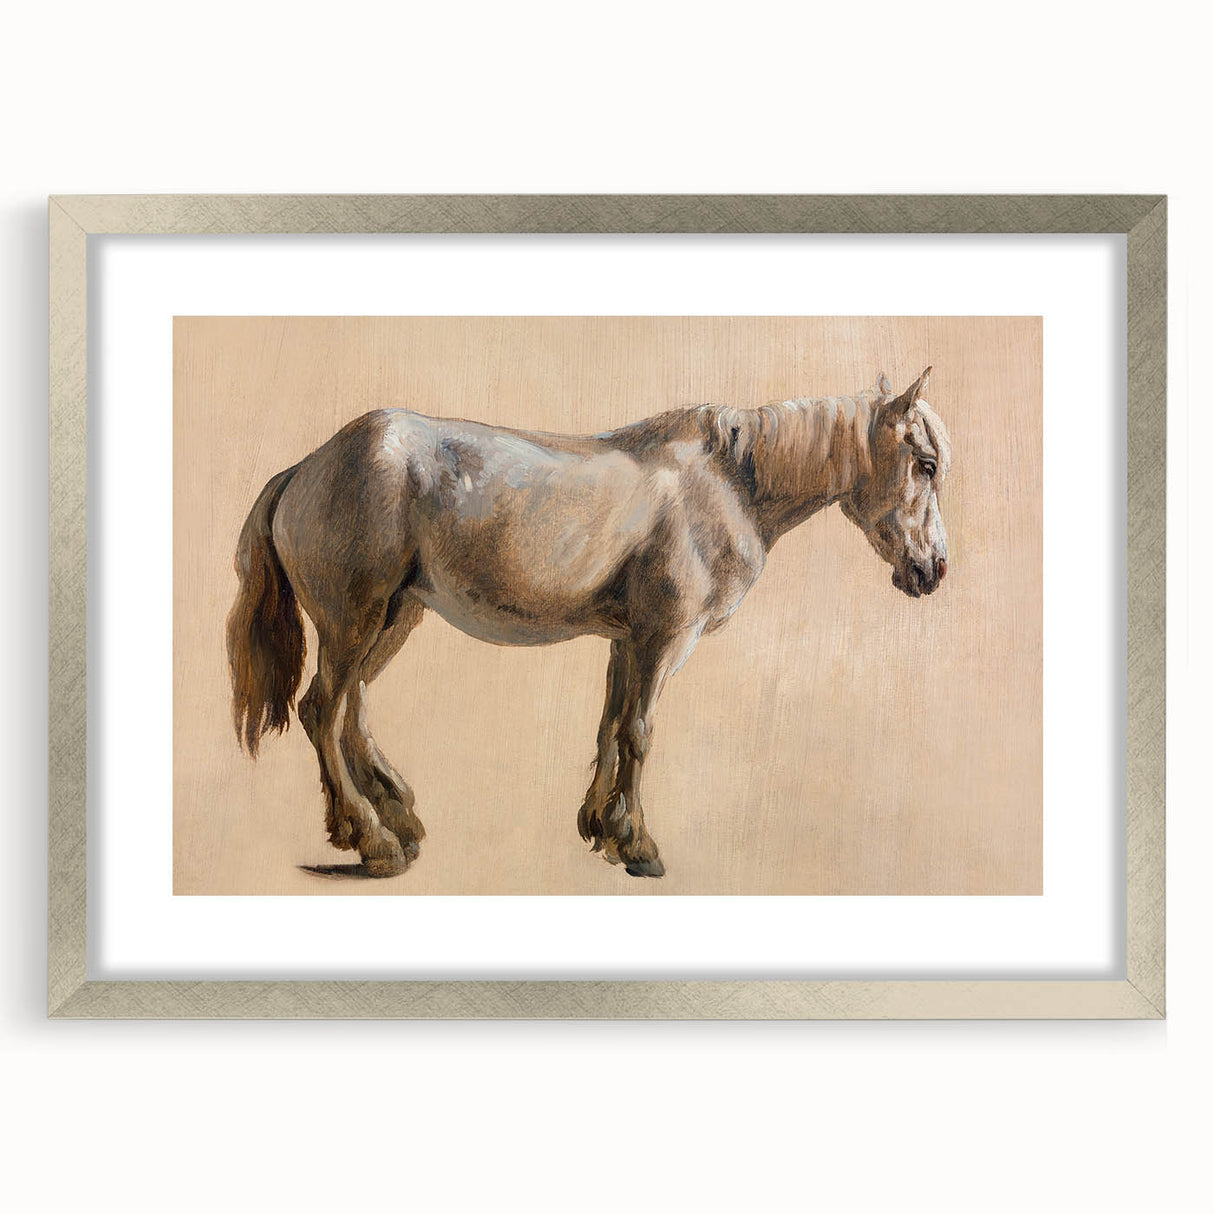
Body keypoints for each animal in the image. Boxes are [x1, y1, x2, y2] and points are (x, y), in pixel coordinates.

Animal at [226, 367, 951, 879]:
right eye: (927, 465)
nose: (933, 570)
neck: (727, 484)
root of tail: (306, 467)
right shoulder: (663, 640)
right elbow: (638, 732)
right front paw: (637, 844)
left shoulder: (628, 642)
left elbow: (608, 726)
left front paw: (600, 826)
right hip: (357, 620)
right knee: (323, 710)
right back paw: (372, 840)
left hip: (394, 618)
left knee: (351, 707)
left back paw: (392, 816)